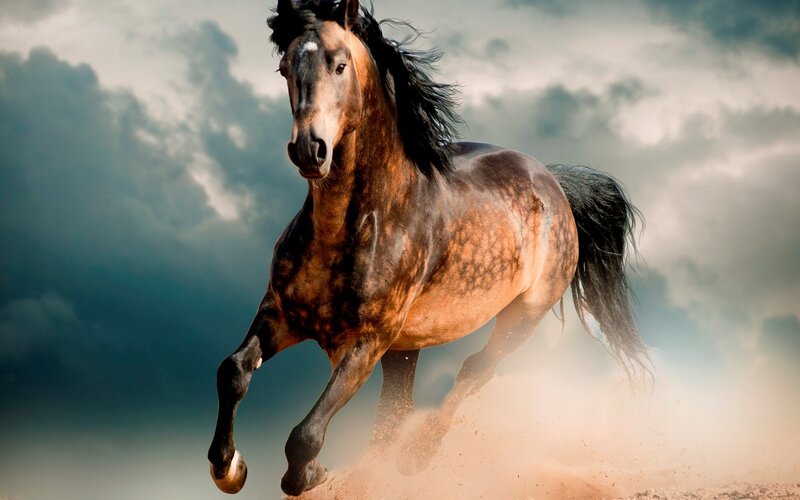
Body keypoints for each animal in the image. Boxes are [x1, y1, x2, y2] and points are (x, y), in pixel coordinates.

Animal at [207, 0, 648, 496]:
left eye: (339, 65)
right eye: (284, 68)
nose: (309, 150)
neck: (355, 226)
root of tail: (553, 181)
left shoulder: (367, 342)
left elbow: (305, 435)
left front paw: (312, 474)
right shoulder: (280, 313)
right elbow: (232, 371)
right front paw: (229, 468)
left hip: (523, 315)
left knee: (474, 371)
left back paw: (415, 458)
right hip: (406, 348)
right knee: (395, 411)